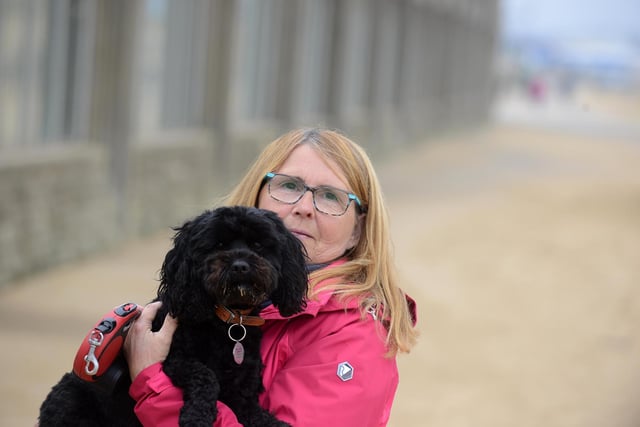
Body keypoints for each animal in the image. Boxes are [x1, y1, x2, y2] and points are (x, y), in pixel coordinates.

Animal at [38, 206, 308, 426]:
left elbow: (255, 413)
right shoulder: (174, 361)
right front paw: (196, 416)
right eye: (218, 245)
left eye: (258, 246)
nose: (240, 266)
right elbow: (205, 375)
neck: (228, 321)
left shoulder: (242, 393)